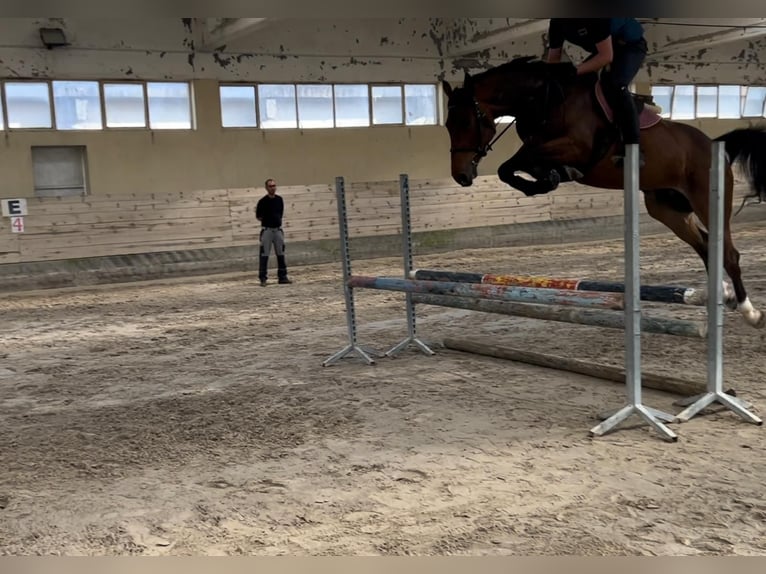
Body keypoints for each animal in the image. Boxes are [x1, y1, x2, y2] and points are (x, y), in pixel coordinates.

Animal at [440, 58, 766, 330]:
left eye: (466, 122)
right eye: (447, 125)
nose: (461, 176)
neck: (546, 100)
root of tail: (713, 144)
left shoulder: (574, 146)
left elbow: (515, 163)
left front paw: (552, 178)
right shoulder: (541, 149)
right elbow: (512, 167)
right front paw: (549, 179)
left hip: (706, 200)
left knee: (729, 252)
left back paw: (749, 311)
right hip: (668, 209)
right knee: (707, 246)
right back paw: (723, 294)